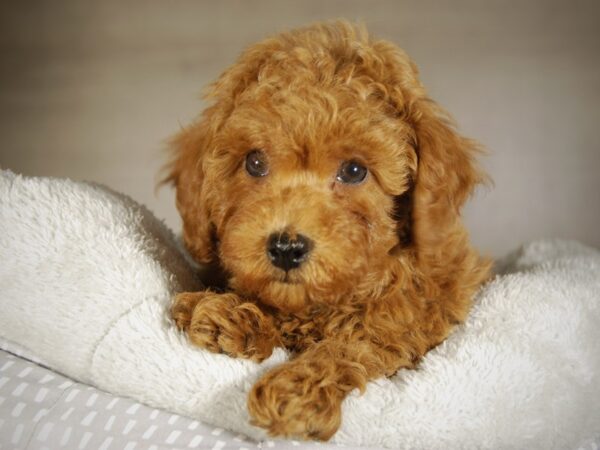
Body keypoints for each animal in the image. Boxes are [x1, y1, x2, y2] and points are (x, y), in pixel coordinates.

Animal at [165, 20, 492, 440]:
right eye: (254, 162)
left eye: (353, 171)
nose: (286, 248)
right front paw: (225, 311)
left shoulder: (416, 320)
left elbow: (360, 344)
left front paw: (296, 390)